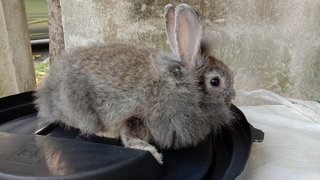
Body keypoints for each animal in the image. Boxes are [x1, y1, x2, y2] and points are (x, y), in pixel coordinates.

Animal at [35, 3, 235, 165]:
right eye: (215, 81)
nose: (232, 95)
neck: (181, 85)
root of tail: (46, 94)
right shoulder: (139, 116)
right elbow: (130, 137)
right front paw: (153, 154)